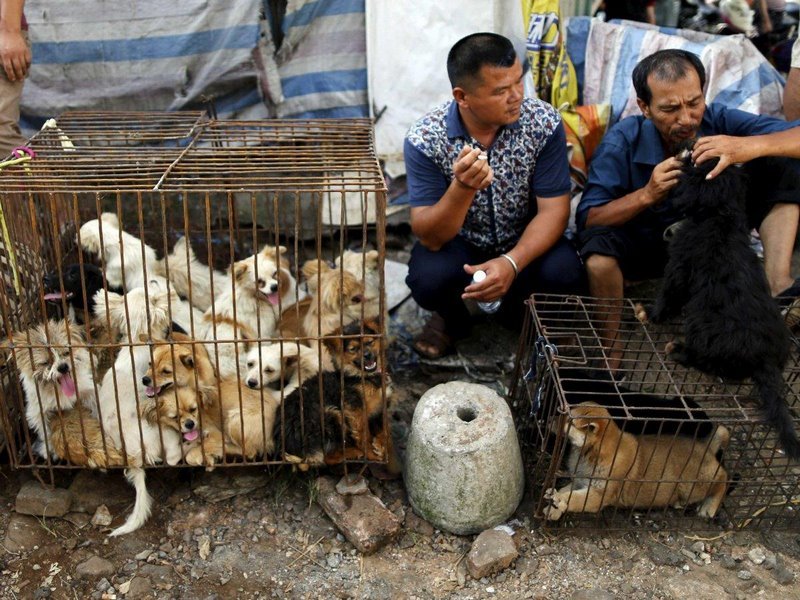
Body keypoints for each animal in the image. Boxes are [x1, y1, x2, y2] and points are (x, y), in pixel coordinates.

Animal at [544, 404, 732, 520]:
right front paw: (553, 508)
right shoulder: (580, 481)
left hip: (694, 485)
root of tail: (705, 447)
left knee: (723, 478)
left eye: (568, 420)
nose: (548, 419)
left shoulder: (599, 494)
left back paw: (709, 507)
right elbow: (567, 491)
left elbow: (573, 498)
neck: (590, 453)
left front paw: (558, 499)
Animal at [636, 146, 800, 460]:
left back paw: (679, 350)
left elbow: (668, 294)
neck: (720, 215)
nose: (689, 147)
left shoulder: (680, 264)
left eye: (694, 163)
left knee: (707, 361)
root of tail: (766, 361)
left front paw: (650, 313)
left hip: (703, 326)